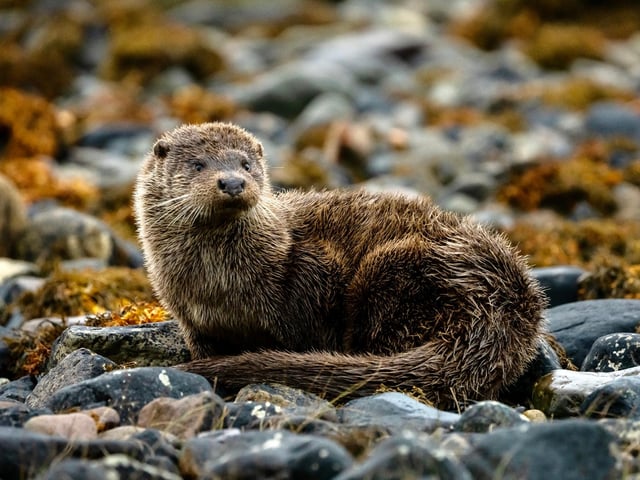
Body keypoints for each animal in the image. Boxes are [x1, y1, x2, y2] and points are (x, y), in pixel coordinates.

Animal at [134, 122, 546, 408]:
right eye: (197, 164)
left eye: (246, 164)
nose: (233, 182)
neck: (219, 286)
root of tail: (500, 308)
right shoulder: (193, 320)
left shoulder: (311, 267)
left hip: (394, 268)